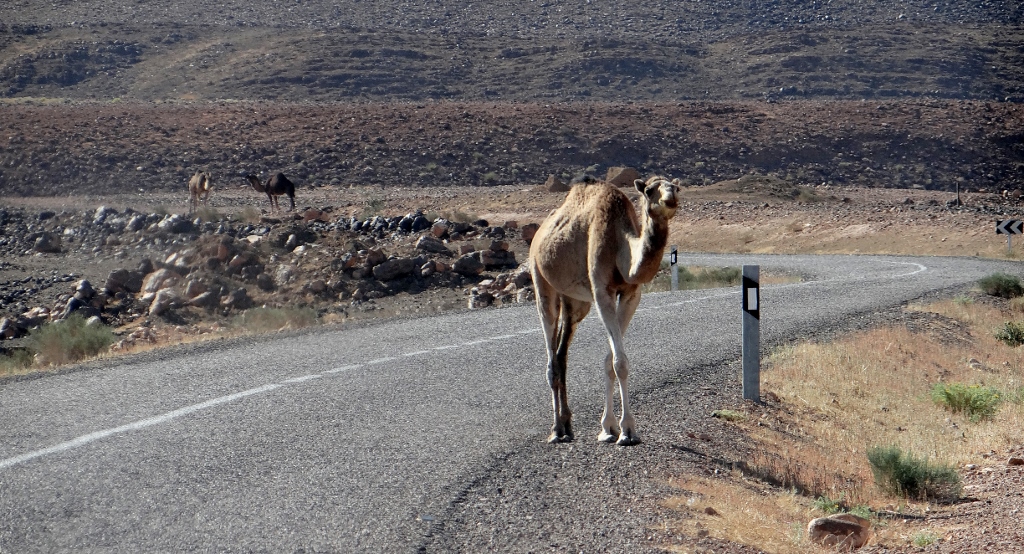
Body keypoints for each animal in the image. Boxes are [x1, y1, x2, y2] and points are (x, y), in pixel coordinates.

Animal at [528, 176, 680, 446]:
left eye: (677, 187)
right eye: (650, 190)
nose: (670, 198)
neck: (621, 247)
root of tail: (539, 233)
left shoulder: (631, 295)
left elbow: (611, 360)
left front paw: (609, 427)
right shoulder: (601, 292)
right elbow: (620, 361)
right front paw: (626, 431)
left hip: (576, 302)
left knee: (561, 353)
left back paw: (567, 425)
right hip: (541, 280)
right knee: (551, 355)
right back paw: (556, 430)